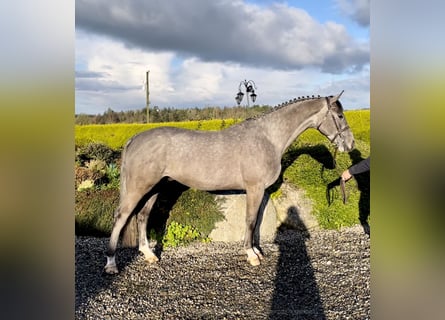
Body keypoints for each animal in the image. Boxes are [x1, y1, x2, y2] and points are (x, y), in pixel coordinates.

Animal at [105, 91, 354, 274]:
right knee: (121, 217)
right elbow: (251, 220)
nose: (350, 144)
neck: (268, 138)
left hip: (155, 188)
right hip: (139, 188)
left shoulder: (259, 192)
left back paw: (149, 255)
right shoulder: (254, 189)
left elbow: (257, 221)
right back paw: (111, 264)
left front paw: (256, 250)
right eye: (340, 116)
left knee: (142, 216)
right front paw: (252, 255)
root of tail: (135, 138)